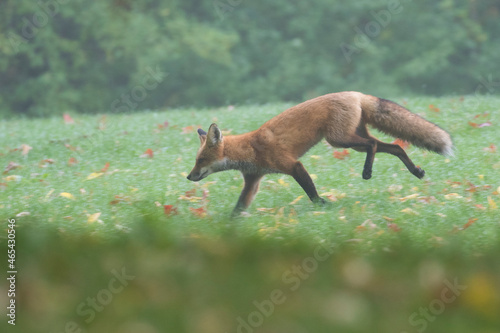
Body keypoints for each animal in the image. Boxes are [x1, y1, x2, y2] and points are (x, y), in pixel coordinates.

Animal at [187, 91, 454, 215]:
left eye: (201, 160)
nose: (188, 177)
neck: (249, 149)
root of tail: (355, 93)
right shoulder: (253, 180)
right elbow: (238, 208)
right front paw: (229, 227)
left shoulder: (293, 165)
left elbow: (311, 192)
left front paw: (323, 206)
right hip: (351, 140)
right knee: (393, 146)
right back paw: (415, 171)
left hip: (339, 140)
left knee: (374, 145)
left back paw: (367, 172)